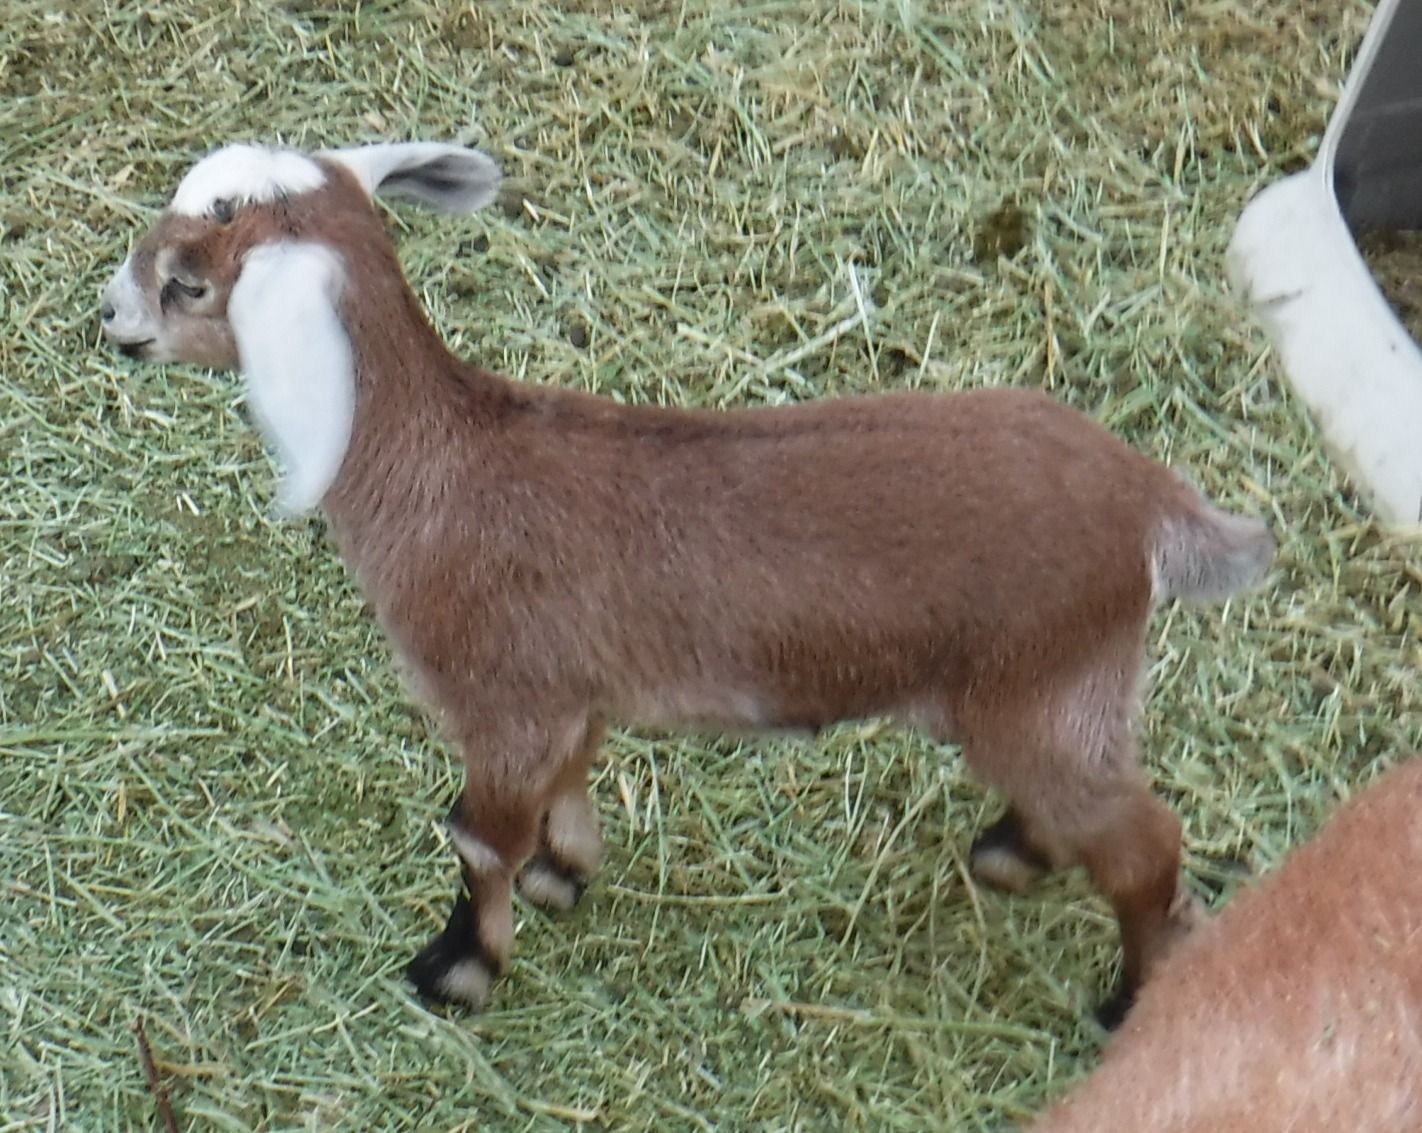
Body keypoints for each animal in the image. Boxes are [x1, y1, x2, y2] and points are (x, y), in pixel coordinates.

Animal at [99, 140, 1274, 1017]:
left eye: (188, 281)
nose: (107, 321)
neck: (444, 467)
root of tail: (1150, 501)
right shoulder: (565, 694)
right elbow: (567, 785)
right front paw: (564, 873)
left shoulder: (504, 700)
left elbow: (478, 836)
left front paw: (458, 970)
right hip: (1048, 694)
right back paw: (1011, 854)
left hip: (1046, 683)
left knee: (1145, 841)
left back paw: (1128, 993)